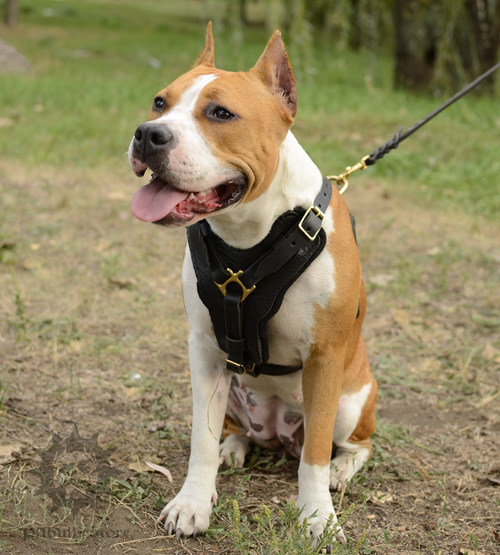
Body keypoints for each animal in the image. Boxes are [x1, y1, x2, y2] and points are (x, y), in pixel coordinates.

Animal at [127, 22, 376, 548]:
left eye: (221, 113)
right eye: (159, 102)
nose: (148, 134)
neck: (251, 235)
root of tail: (280, 435)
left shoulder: (325, 357)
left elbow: (315, 455)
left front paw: (317, 518)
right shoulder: (205, 347)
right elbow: (200, 438)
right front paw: (193, 503)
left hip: (350, 401)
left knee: (352, 443)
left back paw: (342, 470)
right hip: (237, 391)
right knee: (234, 428)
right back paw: (233, 447)